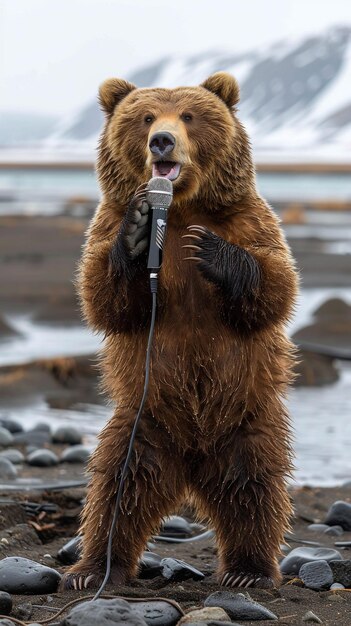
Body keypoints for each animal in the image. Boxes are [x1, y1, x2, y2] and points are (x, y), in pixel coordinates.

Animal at [62, 72, 300, 588]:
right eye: (146, 117)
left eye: (189, 116)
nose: (162, 140)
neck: (182, 209)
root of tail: (192, 464)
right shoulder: (105, 222)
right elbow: (102, 297)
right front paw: (136, 232)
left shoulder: (250, 220)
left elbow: (276, 286)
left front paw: (208, 249)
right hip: (142, 421)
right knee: (118, 485)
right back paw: (95, 568)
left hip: (248, 417)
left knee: (254, 485)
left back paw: (249, 570)